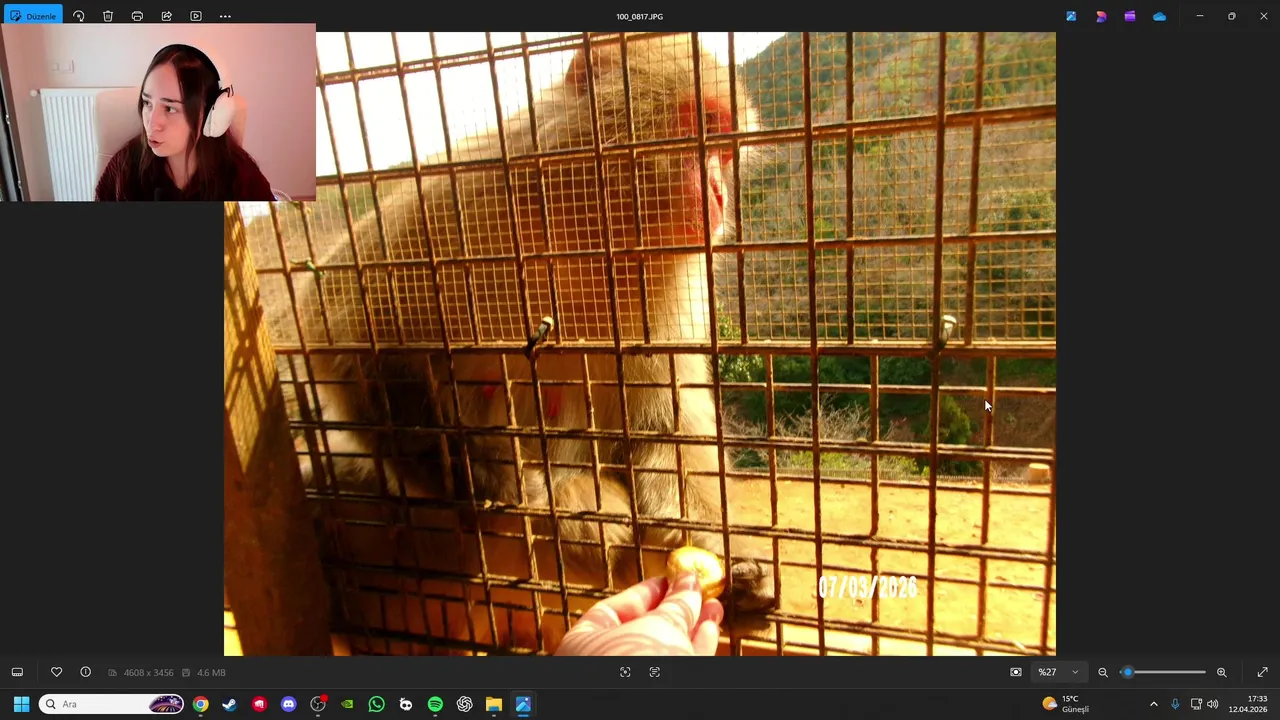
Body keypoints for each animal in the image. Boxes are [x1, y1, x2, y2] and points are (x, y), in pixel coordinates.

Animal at [266, 32, 777, 654]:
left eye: (724, 151)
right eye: (701, 124)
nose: (721, 192)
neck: (579, 235)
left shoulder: (668, 291)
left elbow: (662, 431)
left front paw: (734, 559)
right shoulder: (460, 198)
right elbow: (340, 326)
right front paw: (477, 477)